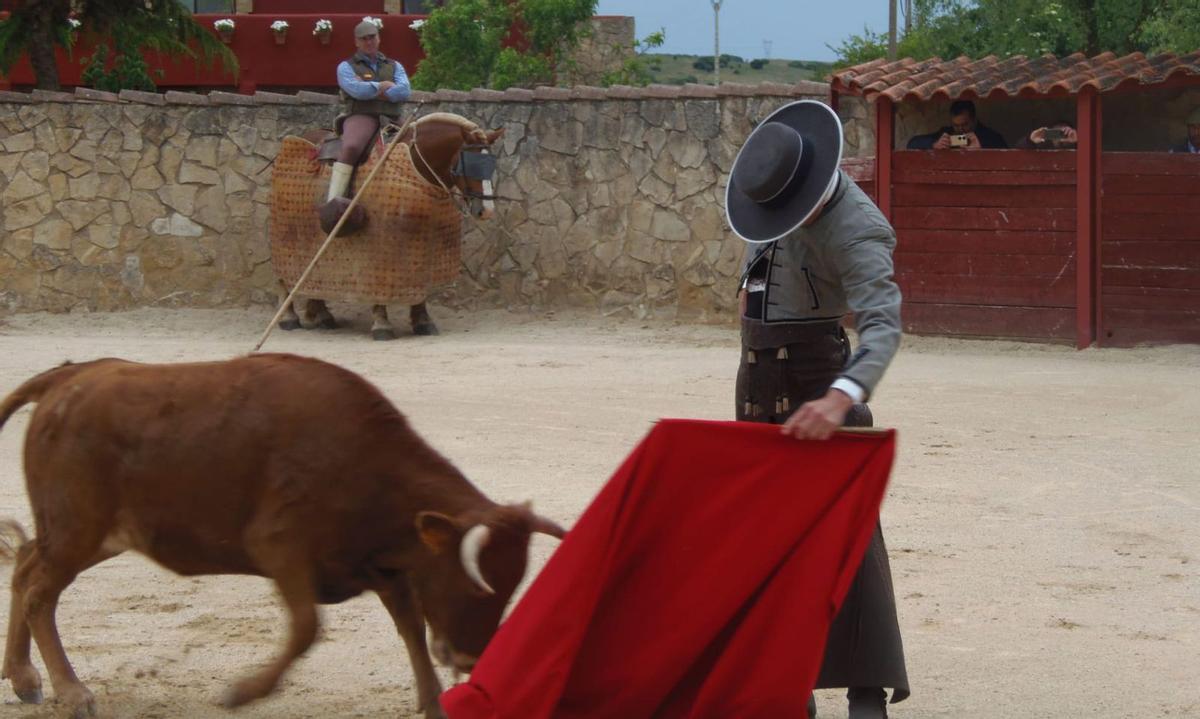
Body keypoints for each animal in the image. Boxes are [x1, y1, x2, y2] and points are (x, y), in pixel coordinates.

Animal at [0, 355, 561, 719]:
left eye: (512, 587)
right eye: (476, 587)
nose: (470, 660)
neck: (369, 464)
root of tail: (70, 375)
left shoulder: (380, 564)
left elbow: (409, 626)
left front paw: (433, 702)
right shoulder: (281, 549)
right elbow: (307, 629)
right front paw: (243, 693)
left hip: (91, 535)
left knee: (25, 565)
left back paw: (25, 679)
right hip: (78, 528)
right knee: (39, 592)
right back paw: (72, 692)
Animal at [270, 113, 504, 343]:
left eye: (491, 164)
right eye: (471, 164)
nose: (486, 211)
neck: (415, 164)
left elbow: (419, 280)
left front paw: (423, 321)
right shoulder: (381, 248)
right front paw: (382, 324)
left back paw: (319, 314)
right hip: (285, 233)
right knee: (283, 275)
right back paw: (289, 317)